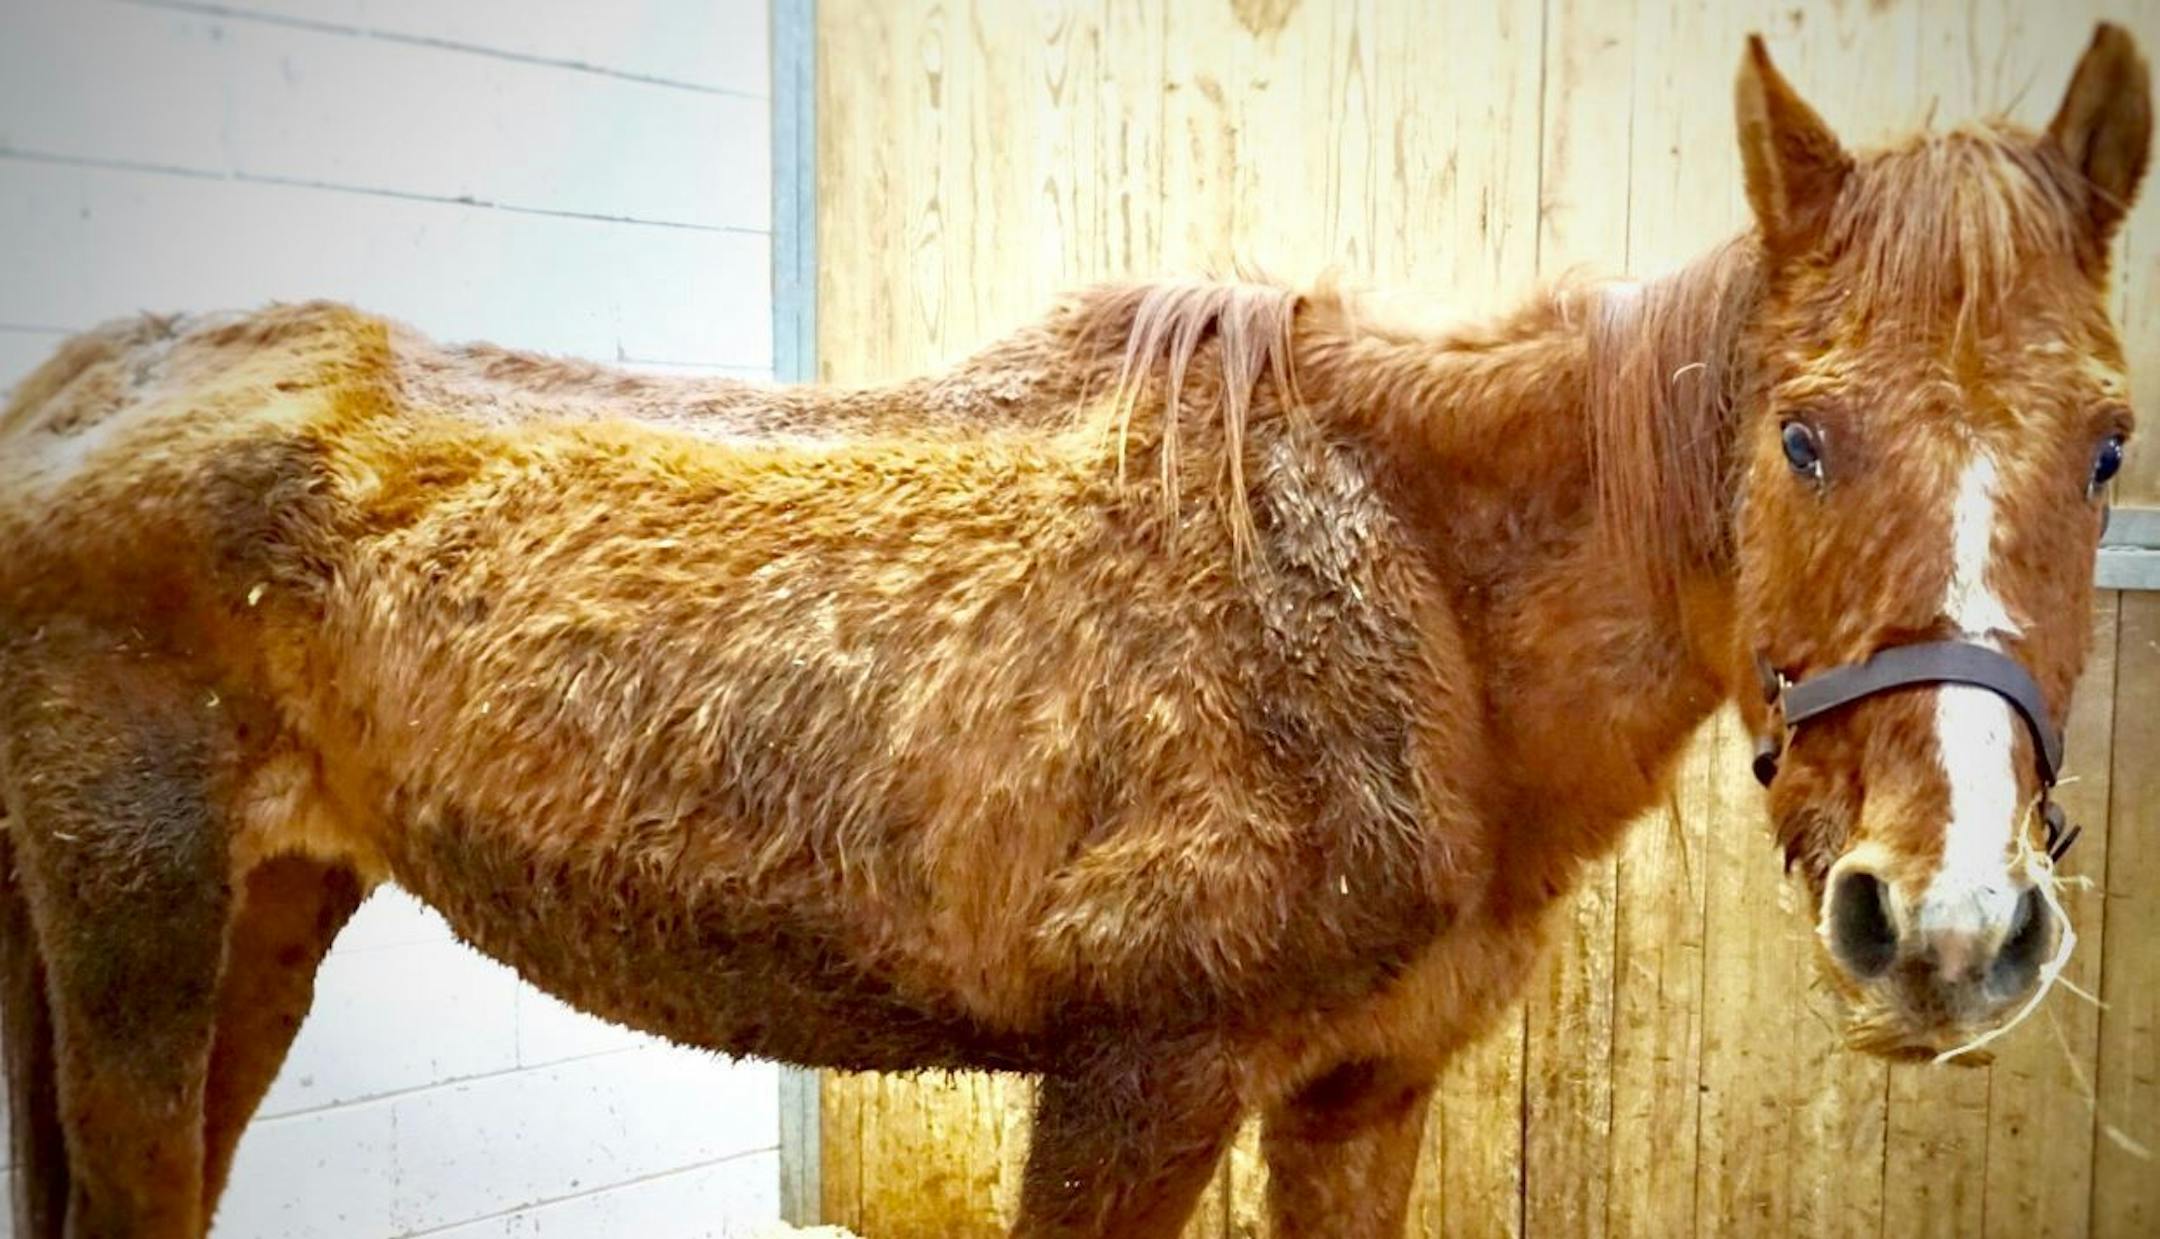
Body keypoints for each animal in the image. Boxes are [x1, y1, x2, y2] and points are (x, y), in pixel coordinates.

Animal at [0, 24, 2148, 1239]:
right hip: (138, 929)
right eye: (1801, 432)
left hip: (261, 912)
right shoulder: (1141, 1079)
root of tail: (79, 385)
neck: (1414, 588)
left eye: (2116, 440)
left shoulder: (1361, 1099)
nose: (1950, 925)